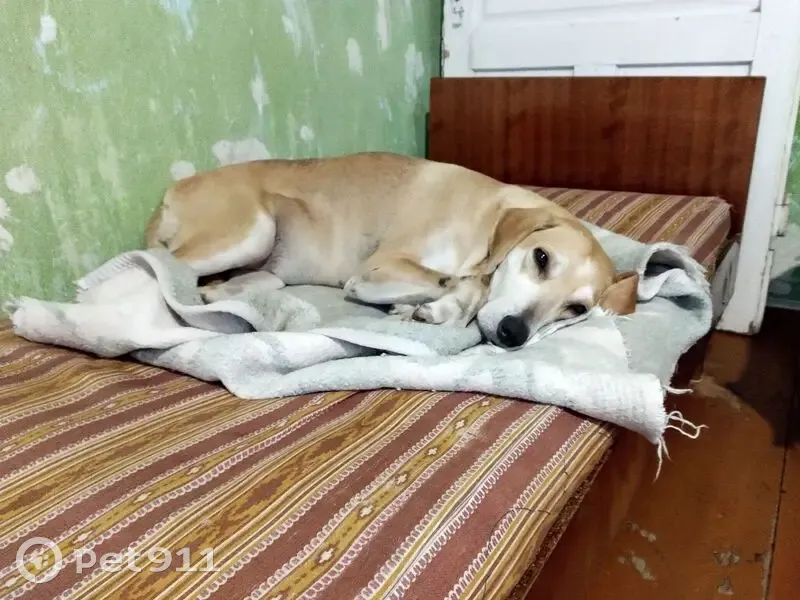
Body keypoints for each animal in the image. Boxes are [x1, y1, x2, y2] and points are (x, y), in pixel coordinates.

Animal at [145, 152, 638, 349]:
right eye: (541, 258)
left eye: (576, 309)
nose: (513, 334)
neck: (485, 223)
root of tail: (171, 191)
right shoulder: (378, 268)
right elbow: (458, 282)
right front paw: (440, 305)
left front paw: (432, 310)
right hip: (252, 230)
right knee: (164, 267)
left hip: (268, 271)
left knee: (227, 287)